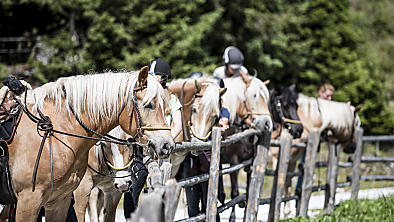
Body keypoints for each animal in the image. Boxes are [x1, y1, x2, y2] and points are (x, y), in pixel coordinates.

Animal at [222, 83, 302, 222]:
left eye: (296, 105)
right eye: (284, 105)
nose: (299, 130)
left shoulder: (249, 165)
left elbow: (249, 190)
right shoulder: (234, 163)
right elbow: (235, 192)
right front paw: (232, 218)